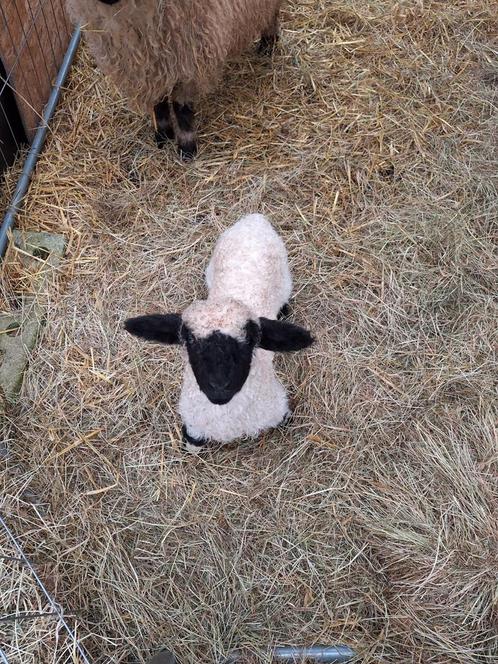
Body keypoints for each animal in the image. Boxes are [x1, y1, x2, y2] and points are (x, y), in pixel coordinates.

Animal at [66, 0, 284, 158]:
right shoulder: (153, 68)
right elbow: (159, 104)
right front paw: (162, 136)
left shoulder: (190, 61)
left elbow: (182, 109)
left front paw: (186, 149)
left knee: (273, 13)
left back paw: (268, 44)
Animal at [124, 213, 314, 452]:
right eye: (189, 340)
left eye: (251, 341)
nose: (219, 388)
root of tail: (254, 219)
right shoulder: (193, 427)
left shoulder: (279, 409)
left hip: (285, 278)